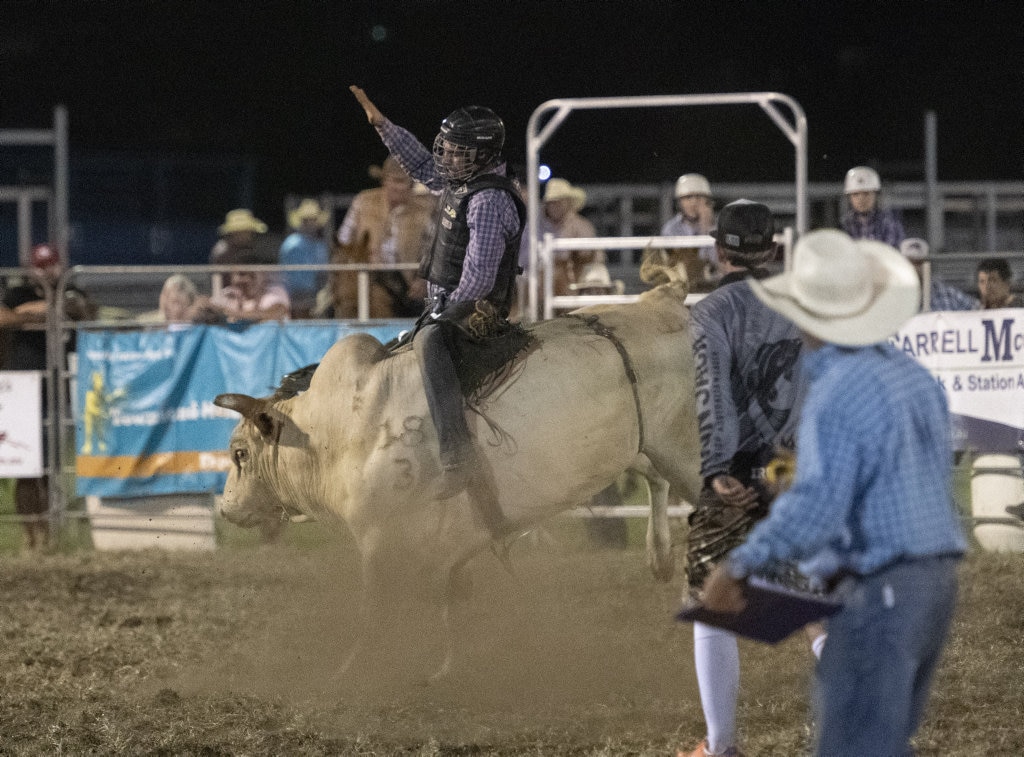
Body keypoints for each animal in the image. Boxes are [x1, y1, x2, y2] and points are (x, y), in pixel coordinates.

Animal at [216, 274, 704, 676]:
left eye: (240, 453)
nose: (226, 508)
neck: (337, 431)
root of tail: (663, 303)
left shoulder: (380, 540)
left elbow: (376, 608)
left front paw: (352, 670)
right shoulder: (452, 543)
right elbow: (452, 600)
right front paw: (451, 668)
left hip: (686, 451)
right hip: (645, 446)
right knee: (656, 479)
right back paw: (661, 559)